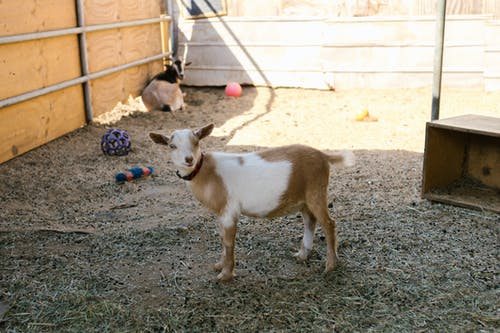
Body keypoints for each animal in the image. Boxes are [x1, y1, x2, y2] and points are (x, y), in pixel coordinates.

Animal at [149, 122, 356, 280]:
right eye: (172, 146)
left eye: (196, 141)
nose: (189, 159)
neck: (207, 172)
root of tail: (323, 156)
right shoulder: (221, 213)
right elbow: (222, 238)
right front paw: (219, 265)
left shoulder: (230, 211)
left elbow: (228, 242)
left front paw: (225, 275)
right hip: (303, 198)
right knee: (310, 221)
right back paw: (303, 255)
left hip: (316, 192)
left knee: (329, 224)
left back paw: (330, 266)